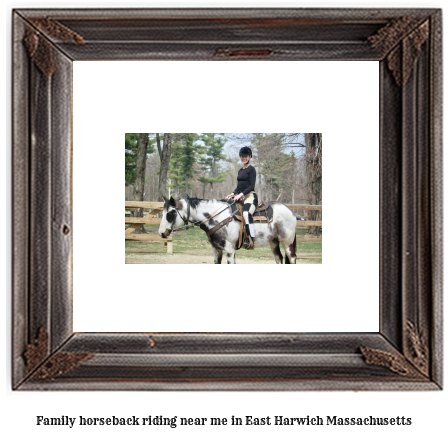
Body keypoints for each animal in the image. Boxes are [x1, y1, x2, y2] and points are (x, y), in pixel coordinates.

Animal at [158, 198, 298, 264]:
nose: (161, 233)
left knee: (292, 258)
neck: (219, 218)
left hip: (287, 243)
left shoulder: (229, 249)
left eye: (170, 213)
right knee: (278, 258)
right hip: (274, 241)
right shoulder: (216, 249)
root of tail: (291, 211)